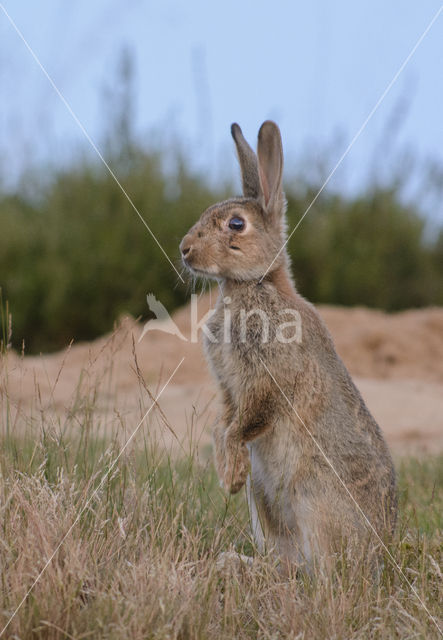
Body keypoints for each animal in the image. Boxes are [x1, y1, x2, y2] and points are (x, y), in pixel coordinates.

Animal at [179, 120, 398, 568]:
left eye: (236, 224)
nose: (184, 249)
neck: (255, 284)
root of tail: (378, 553)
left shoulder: (268, 380)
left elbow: (244, 423)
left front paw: (230, 476)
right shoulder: (229, 387)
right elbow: (222, 424)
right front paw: (228, 473)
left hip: (312, 497)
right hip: (266, 500)